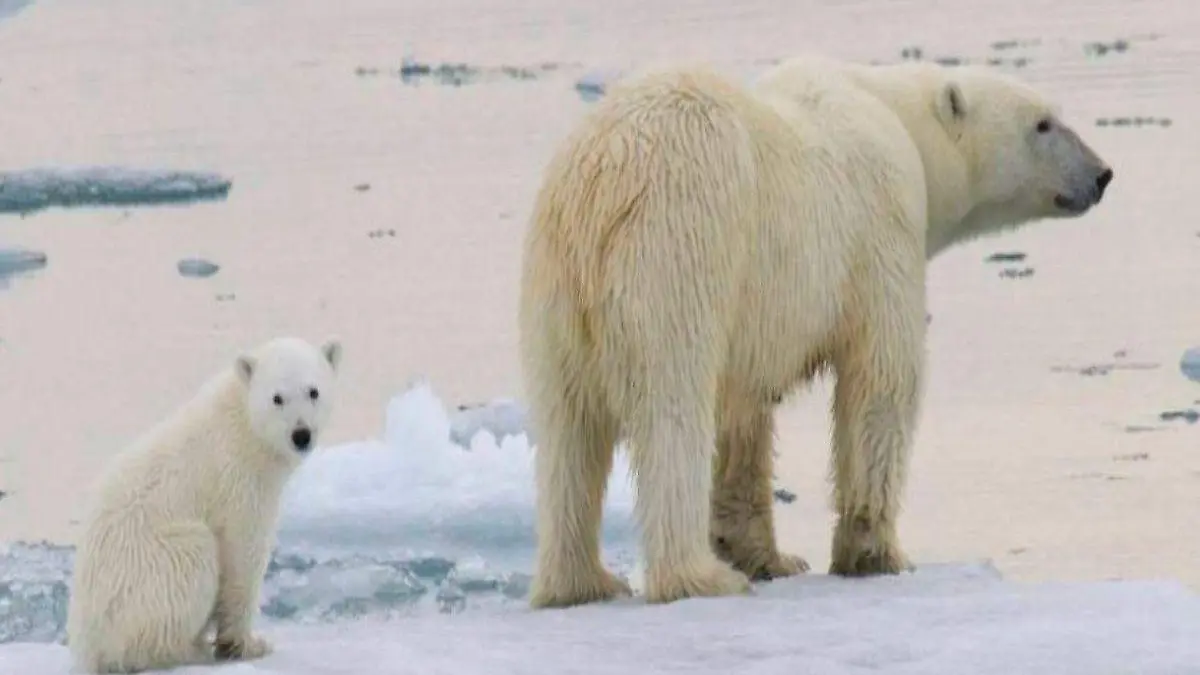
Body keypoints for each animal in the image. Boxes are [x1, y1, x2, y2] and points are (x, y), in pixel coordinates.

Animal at [518, 56, 1113, 605]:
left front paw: (767, 555)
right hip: (679, 249)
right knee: (673, 409)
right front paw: (877, 554)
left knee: (566, 429)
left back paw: (581, 582)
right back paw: (697, 577)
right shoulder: (881, 230)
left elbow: (744, 415)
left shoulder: (754, 316)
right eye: (1043, 123)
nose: (1102, 174)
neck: (899, 119)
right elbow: (881, 381)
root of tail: (602, 182)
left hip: (555, 287)